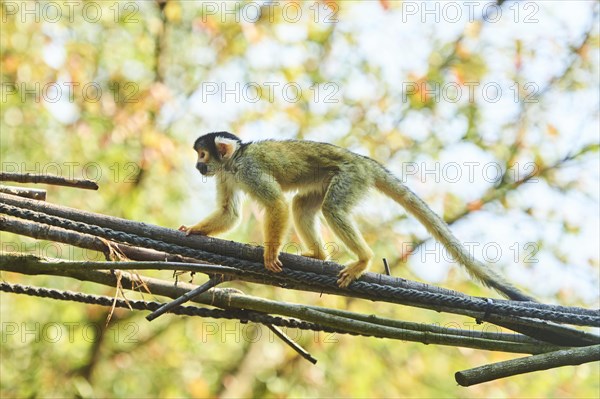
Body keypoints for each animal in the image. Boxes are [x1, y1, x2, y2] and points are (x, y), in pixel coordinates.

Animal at [179, 133, 536, 302]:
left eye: (202, 154)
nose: (198, 166)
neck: (234, 161)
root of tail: (364, 161)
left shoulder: (248, 169)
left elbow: (276, 204)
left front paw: (269, 253)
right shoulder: (226, 174)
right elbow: (230, 212)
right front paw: (195, 230)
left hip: (351, 176)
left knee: (329, 208)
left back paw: (363, 259)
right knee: (303, 205)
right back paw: (318, 255)